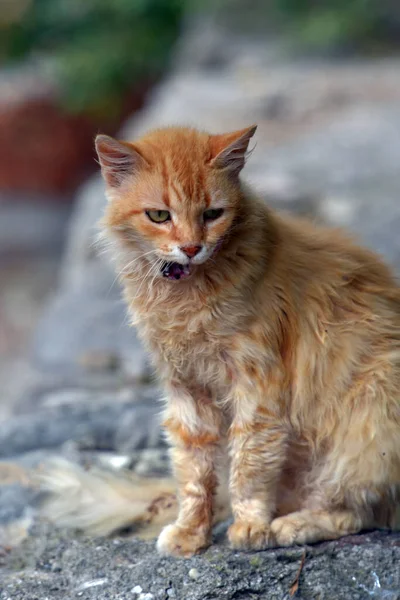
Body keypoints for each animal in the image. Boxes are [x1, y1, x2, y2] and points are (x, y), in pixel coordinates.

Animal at [94, 124, 400, 560]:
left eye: (212, 214)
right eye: (159, 215)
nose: (191, 247)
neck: (185, 297)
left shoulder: (258, 385)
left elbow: (250, 464)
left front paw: (251, 527)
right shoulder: (186, 391)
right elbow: (194, 475)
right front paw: (192, 534)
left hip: (370, 421)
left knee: (353, 512)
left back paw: (290, 526)